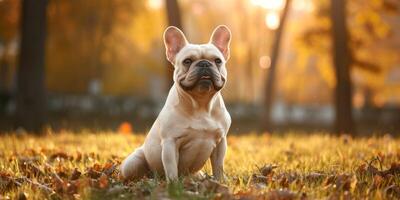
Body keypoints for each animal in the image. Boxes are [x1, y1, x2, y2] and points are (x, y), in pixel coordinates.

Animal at [119, 24, 231, 181]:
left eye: (218, 61)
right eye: (187, 61)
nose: (204, 64)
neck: (201, 104)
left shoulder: (221, 142)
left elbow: (218, 166)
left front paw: (220, 181)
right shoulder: (170, 142)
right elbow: (171, 167)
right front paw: (173, 184)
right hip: (133, 163)